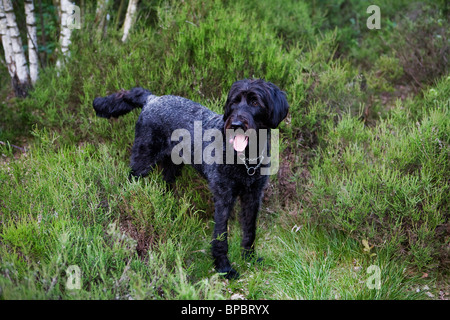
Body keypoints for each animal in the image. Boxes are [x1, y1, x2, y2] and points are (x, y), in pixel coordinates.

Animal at [92, 79, 288, 278]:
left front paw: (249, 257)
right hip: (142, 161)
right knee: (130, 185)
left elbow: (249, 230)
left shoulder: (253, 196)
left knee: (165, 188)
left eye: (255, 102)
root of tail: (152, 99)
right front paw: (224, 267)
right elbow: (221, 235)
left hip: (171, 167)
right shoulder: (223, 197)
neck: (245, 158)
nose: (236, 124)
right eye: (234, 101)